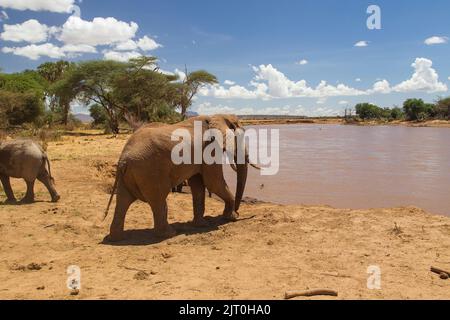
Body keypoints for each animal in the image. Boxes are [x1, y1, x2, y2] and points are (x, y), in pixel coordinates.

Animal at [104, 114, 253, 241]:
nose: (238, 212)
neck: (216, 116)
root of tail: (123, 160)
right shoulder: (210, 148)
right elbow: (213, 182)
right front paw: (231, 218)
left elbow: (198, 185)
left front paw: (201, 224)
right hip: (150, 172)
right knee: (158, 200)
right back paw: (169, 234)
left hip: (129, 176)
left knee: (123, 201)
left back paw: (117, 238)